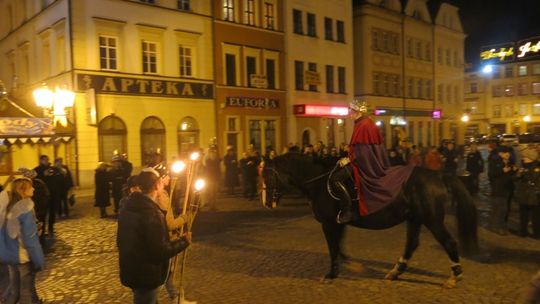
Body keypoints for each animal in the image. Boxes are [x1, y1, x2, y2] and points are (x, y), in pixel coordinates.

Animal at [262, 153, 476, 288]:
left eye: (269, 176)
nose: (267, 203)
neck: (319, 182)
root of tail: (438, 175)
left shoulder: (329, 223)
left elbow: (333, 248)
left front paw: (331, 274)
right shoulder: (339, 223)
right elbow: (339, 247)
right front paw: (349, 266)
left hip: (432, 220)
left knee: (449, 242)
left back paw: (454, 278)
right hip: (415, 218)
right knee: (411, 245)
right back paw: (395, 272)